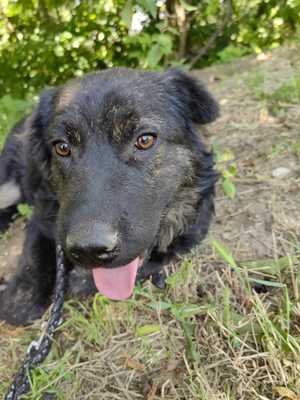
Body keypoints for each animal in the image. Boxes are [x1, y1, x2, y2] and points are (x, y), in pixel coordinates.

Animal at [0, 68, 219, 324]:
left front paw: (82, 280)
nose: (90, 250)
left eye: (145, 140)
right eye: (62, 147)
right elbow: (33, 255)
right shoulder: (43, 212)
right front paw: (20, 299)